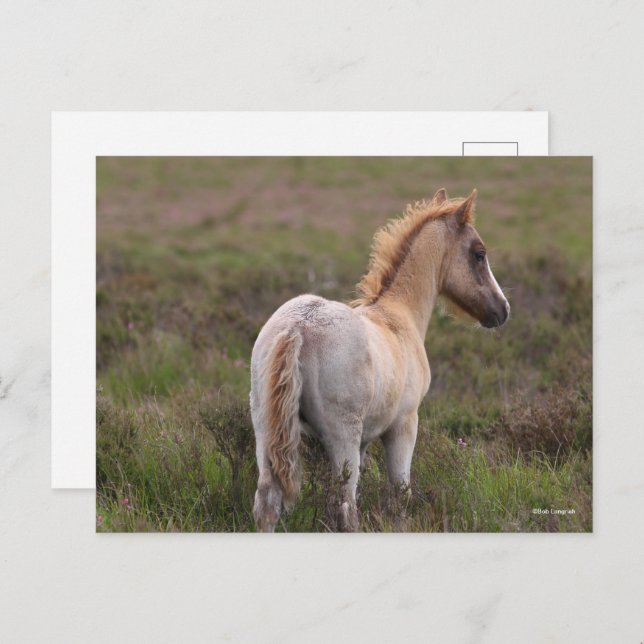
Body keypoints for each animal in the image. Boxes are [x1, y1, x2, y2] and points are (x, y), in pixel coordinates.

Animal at [250, 188, 510, 532]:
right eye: (479, 253)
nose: (502, 309)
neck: (397, 313)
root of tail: (299, 327)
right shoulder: (404, 426)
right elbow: (400, 493)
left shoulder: (364, 441)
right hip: (342, 436)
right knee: (345, 508)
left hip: (265, 431)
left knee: (267, 502)